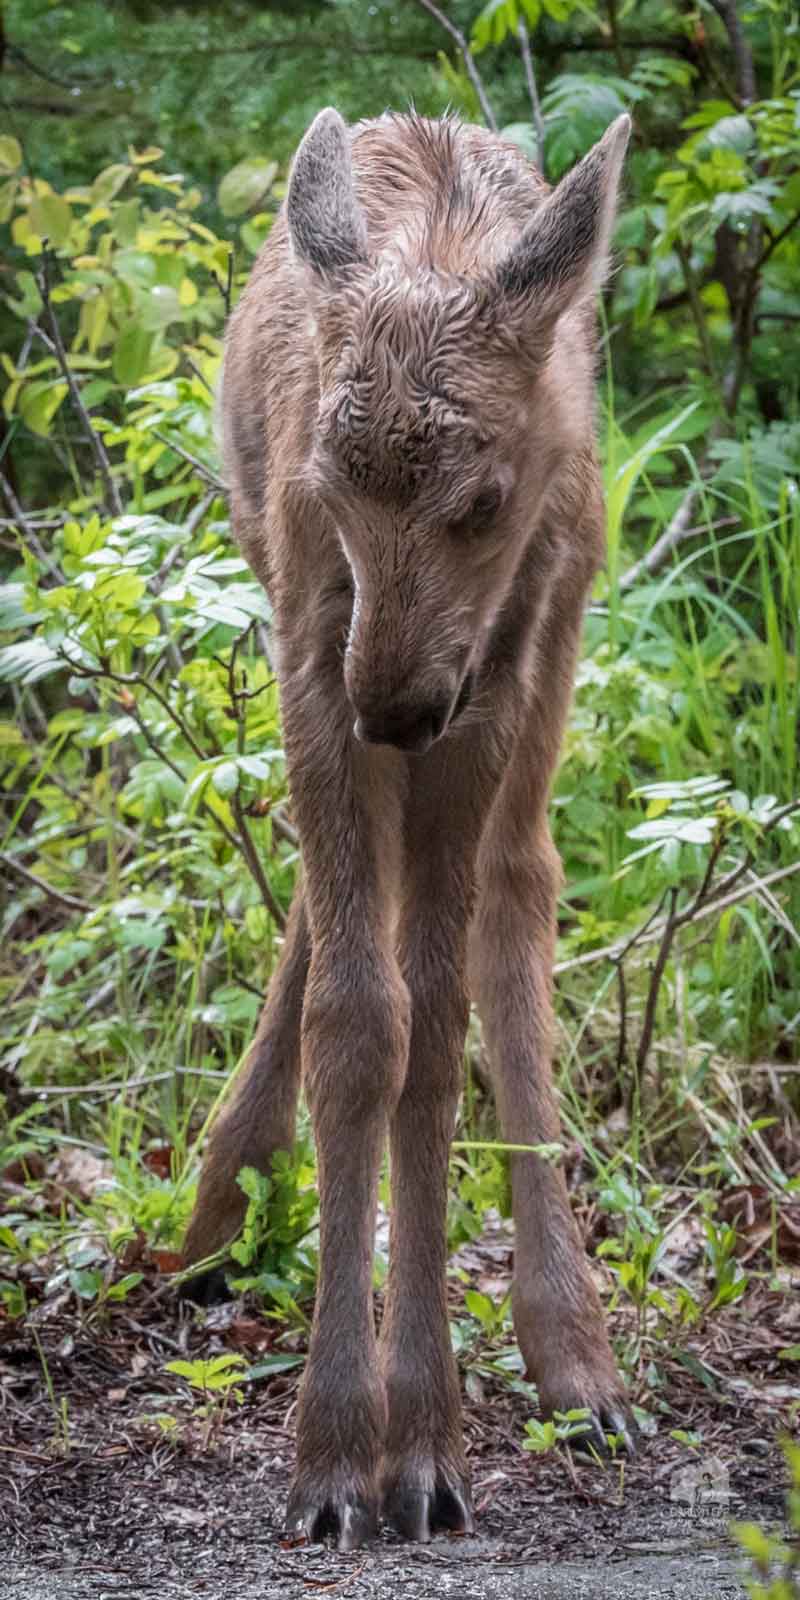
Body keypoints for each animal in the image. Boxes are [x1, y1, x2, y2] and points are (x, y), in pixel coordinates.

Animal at [184, 103, 633, 1548]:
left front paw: (419, 1443)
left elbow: (435, 1032)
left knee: (518, 884)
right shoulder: (309, 639)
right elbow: (357, 1018)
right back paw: (220, 1197)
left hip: (555, 621)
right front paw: (336, 1448)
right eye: (331, 481)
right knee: (339, 922)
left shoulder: (484, 685)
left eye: (479, 502)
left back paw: (574, 1350)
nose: (393, 705)